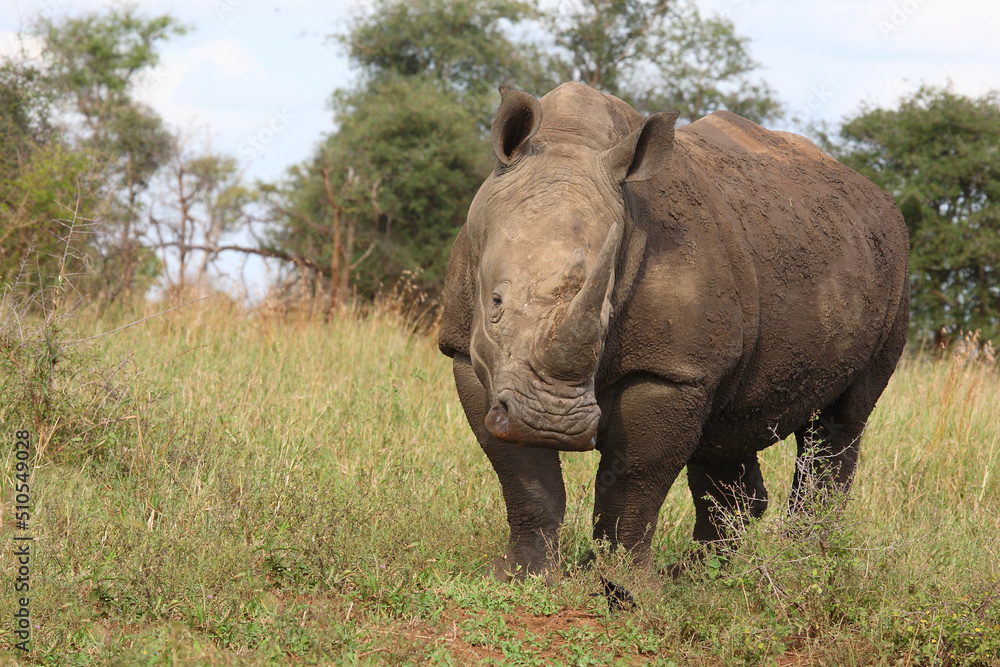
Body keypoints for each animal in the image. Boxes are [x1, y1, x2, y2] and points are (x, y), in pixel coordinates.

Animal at [438, 82, 909, 579]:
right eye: (495, 304)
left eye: (606, 314)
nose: (552, 423)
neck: (570, 141)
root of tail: (876, 193)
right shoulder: (466, 352)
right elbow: (523, 476)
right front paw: (521, 575)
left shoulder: (673, 370)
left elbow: (635, 481)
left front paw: (625, 586)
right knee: (725, 428)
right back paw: (703, 575)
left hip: (895, 272)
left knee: (842, 421)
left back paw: (805, 567)